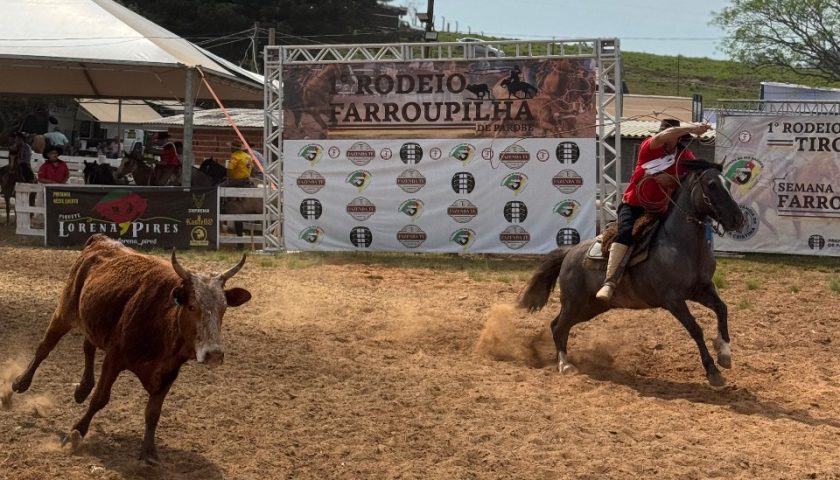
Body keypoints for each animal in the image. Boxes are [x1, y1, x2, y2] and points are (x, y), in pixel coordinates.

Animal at [519, 160, 745, 386]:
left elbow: (722, 309)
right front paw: (712, 371)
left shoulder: (702, 289)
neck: (682, 245)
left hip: (591, 307)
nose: (738, 219)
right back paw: (564, 365)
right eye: (711, 185)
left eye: (729, 184)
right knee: (559, 327)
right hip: (574, 303)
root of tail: (569, 253)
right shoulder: (673, 299)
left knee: (558, 325)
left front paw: (724, 354)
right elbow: (696, 329)